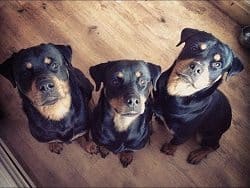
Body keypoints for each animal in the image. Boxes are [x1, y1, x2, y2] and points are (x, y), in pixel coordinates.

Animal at [154, 27, 244, 164]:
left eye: (217, 64)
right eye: (194, 47)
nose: (196, 67)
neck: (177, 93)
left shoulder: (184, 132)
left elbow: (176, 141)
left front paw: (169, 149)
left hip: (206, 134)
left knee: (214, 146)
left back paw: (198, 154)